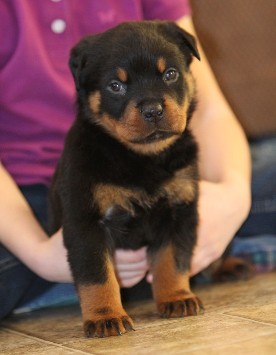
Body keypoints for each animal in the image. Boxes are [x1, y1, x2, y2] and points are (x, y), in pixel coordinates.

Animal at [49, 20, 204, 340]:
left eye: (170, 74)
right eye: (115, 86)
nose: (153, 110)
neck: (142, 158)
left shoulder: (180, 211)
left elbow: (172, 260)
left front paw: (177, 297)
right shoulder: (85, 221)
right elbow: (97, 274)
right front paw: (105, 316)